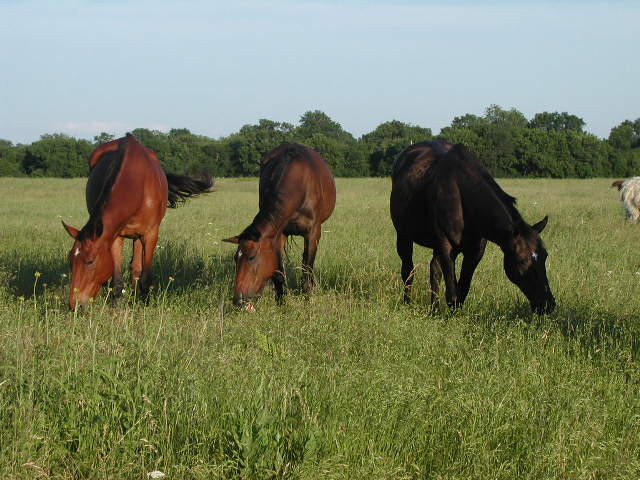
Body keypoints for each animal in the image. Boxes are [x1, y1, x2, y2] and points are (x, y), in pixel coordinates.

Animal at [62, 133, 213, 309]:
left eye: (90, 261)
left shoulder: (150, 234)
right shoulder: (115, 236)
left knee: (136, 268)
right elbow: (117, 278)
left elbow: (145, 275)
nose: (74, 304)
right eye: (70, 261)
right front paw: (116, 305)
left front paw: (145, 303)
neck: (136, 184)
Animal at [223, 143, 336, 310]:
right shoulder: (278, 233)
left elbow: (307, 267)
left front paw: (308, 298)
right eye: (235, 258)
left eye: (252, 257)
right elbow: (278, 270)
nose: (238, 300)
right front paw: (281, 302)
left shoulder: (313, 232)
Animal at [390, 140, 556, 314]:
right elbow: (452, 291)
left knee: (434, 269)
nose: (548, 304)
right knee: (408, 270)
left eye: (544, 256)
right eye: (522, 261)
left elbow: (462, 288)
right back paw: (408, 302)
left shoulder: (475, 251)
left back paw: (434, 308)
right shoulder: (445, 244)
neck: (462, 193)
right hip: (404, 235)